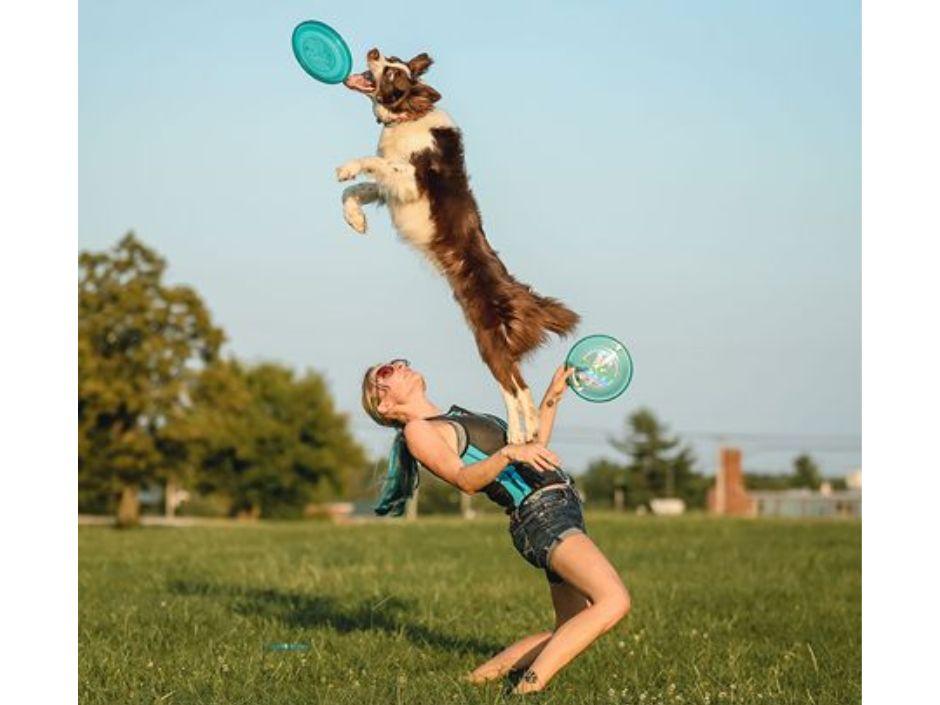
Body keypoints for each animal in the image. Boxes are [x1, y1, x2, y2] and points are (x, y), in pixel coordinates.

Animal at [334, 49, 576, 442]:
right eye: (390, 59)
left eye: (392, 73)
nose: (373, 51)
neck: (407, 118)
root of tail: (524, 296)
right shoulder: (391, 191)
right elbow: (357, 189)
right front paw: (355, 219)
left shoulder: (409, 179)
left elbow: (374, 164)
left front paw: (347, 167)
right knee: (522, 386)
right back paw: (530, 431)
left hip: (488, 340)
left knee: (513, 387)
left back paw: (516, 435)